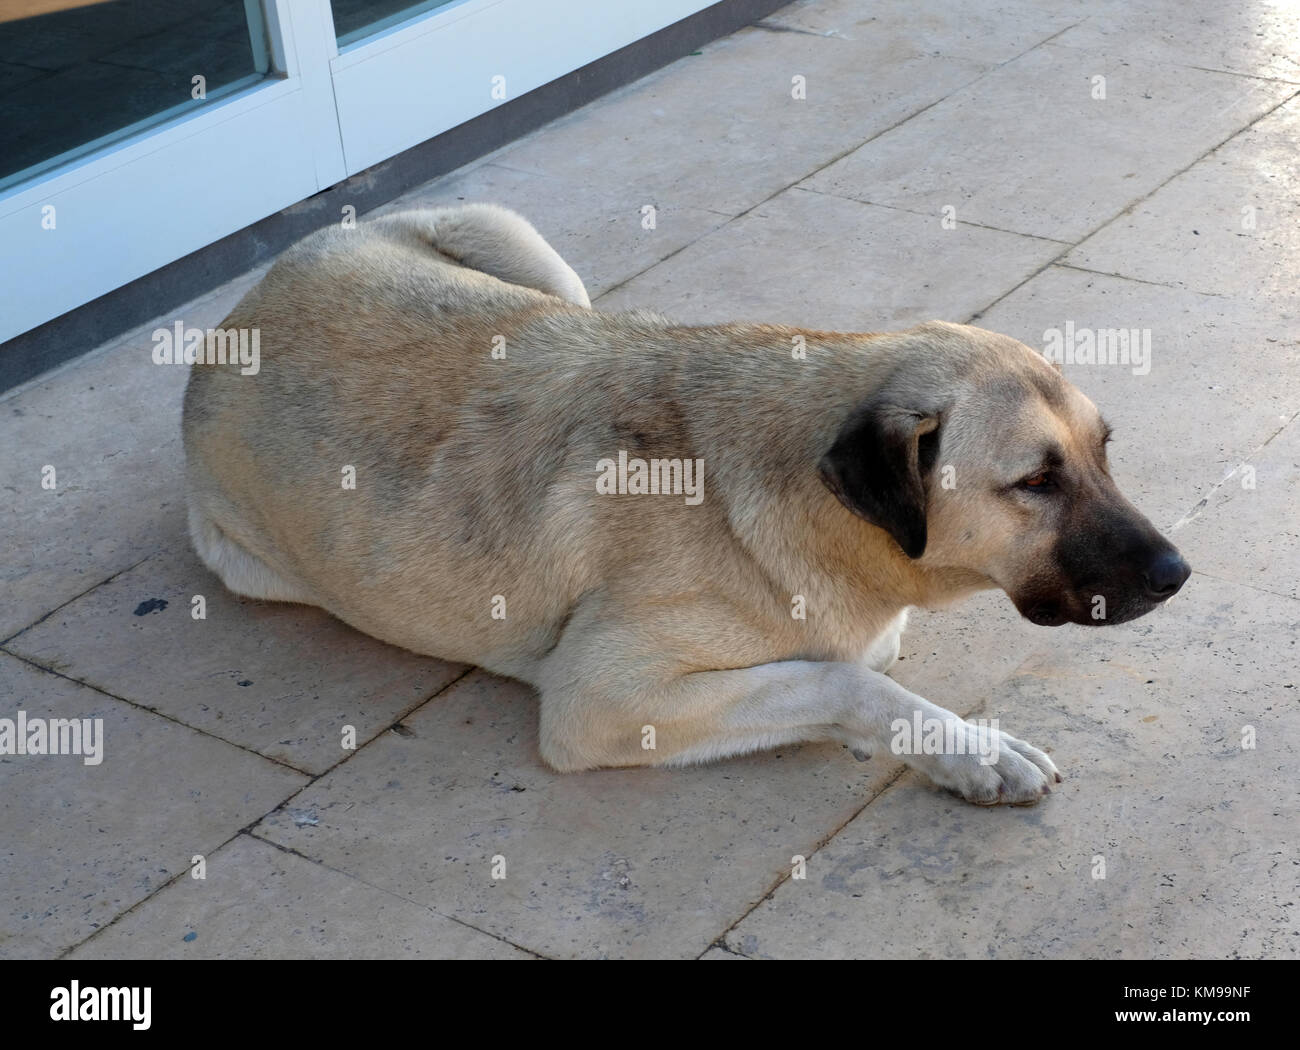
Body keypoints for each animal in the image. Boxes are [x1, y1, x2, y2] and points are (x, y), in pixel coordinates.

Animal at [183, 202, 1190, 805]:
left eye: (1103, 453)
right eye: (1036, 482)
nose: (1179, 575)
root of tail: (238, 311)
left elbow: (860, 654)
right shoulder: (601, 697)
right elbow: (845, 676)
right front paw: (969, 746)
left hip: (514, 242)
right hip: (247, 562)